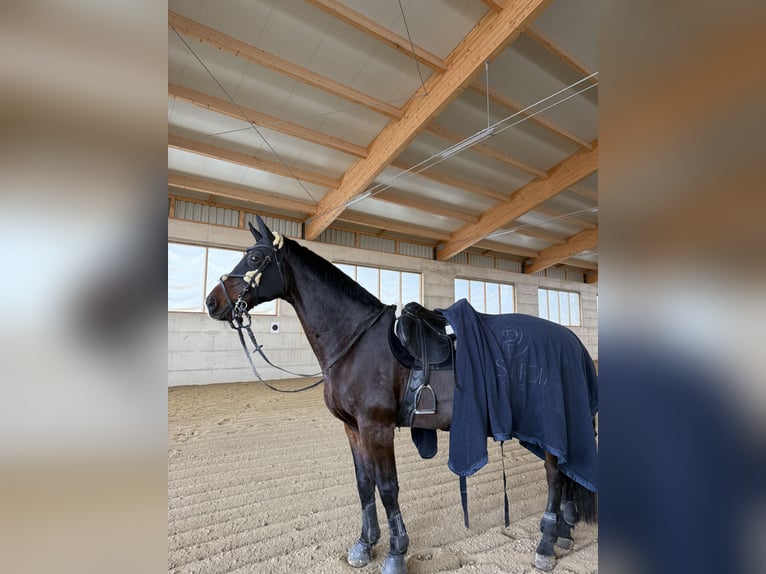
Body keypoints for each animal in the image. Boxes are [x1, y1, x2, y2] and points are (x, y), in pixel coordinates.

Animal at [206, 217, 600, 574]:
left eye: (255, 258)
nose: (212, 302)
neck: (356, 342)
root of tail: (572, 342)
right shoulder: (353, 429)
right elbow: (364, 485)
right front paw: (365, 545)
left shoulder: (376, 427)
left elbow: (387, 487)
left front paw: (396, 553)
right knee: (564, 476)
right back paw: (564, 533)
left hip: (549, 426)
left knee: (554, 477)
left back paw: (546, 545)